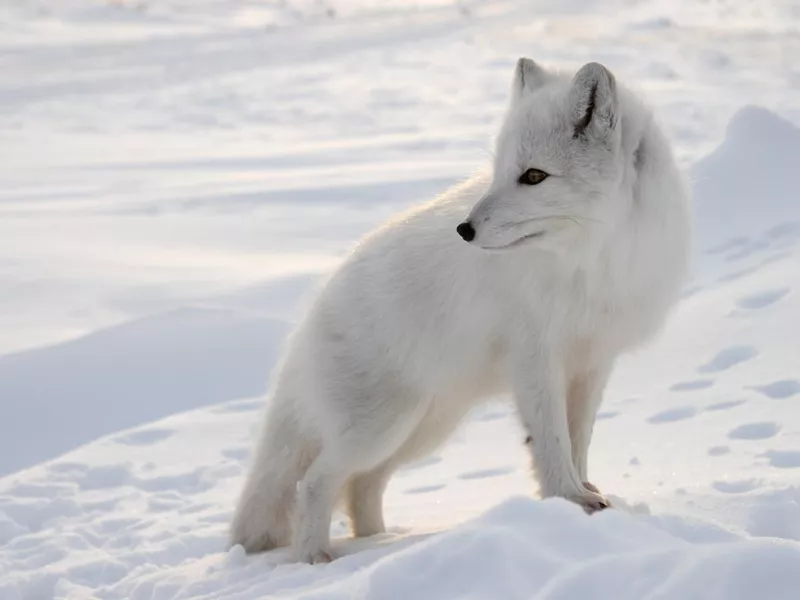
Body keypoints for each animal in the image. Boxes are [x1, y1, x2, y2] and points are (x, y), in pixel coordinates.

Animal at [228, 58, 692, 560]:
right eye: (497, 171)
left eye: (533, 176)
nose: (464, 230)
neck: (591, 261)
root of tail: (310, 317)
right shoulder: (534, 361)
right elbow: (552, 441)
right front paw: (568, 500)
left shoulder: (592, 362)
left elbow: (578, 437)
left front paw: (585, 497)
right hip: (381, 429)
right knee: (315, 483)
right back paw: (318, 557)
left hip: (424, 429)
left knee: (361, 487)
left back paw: (379, 543)